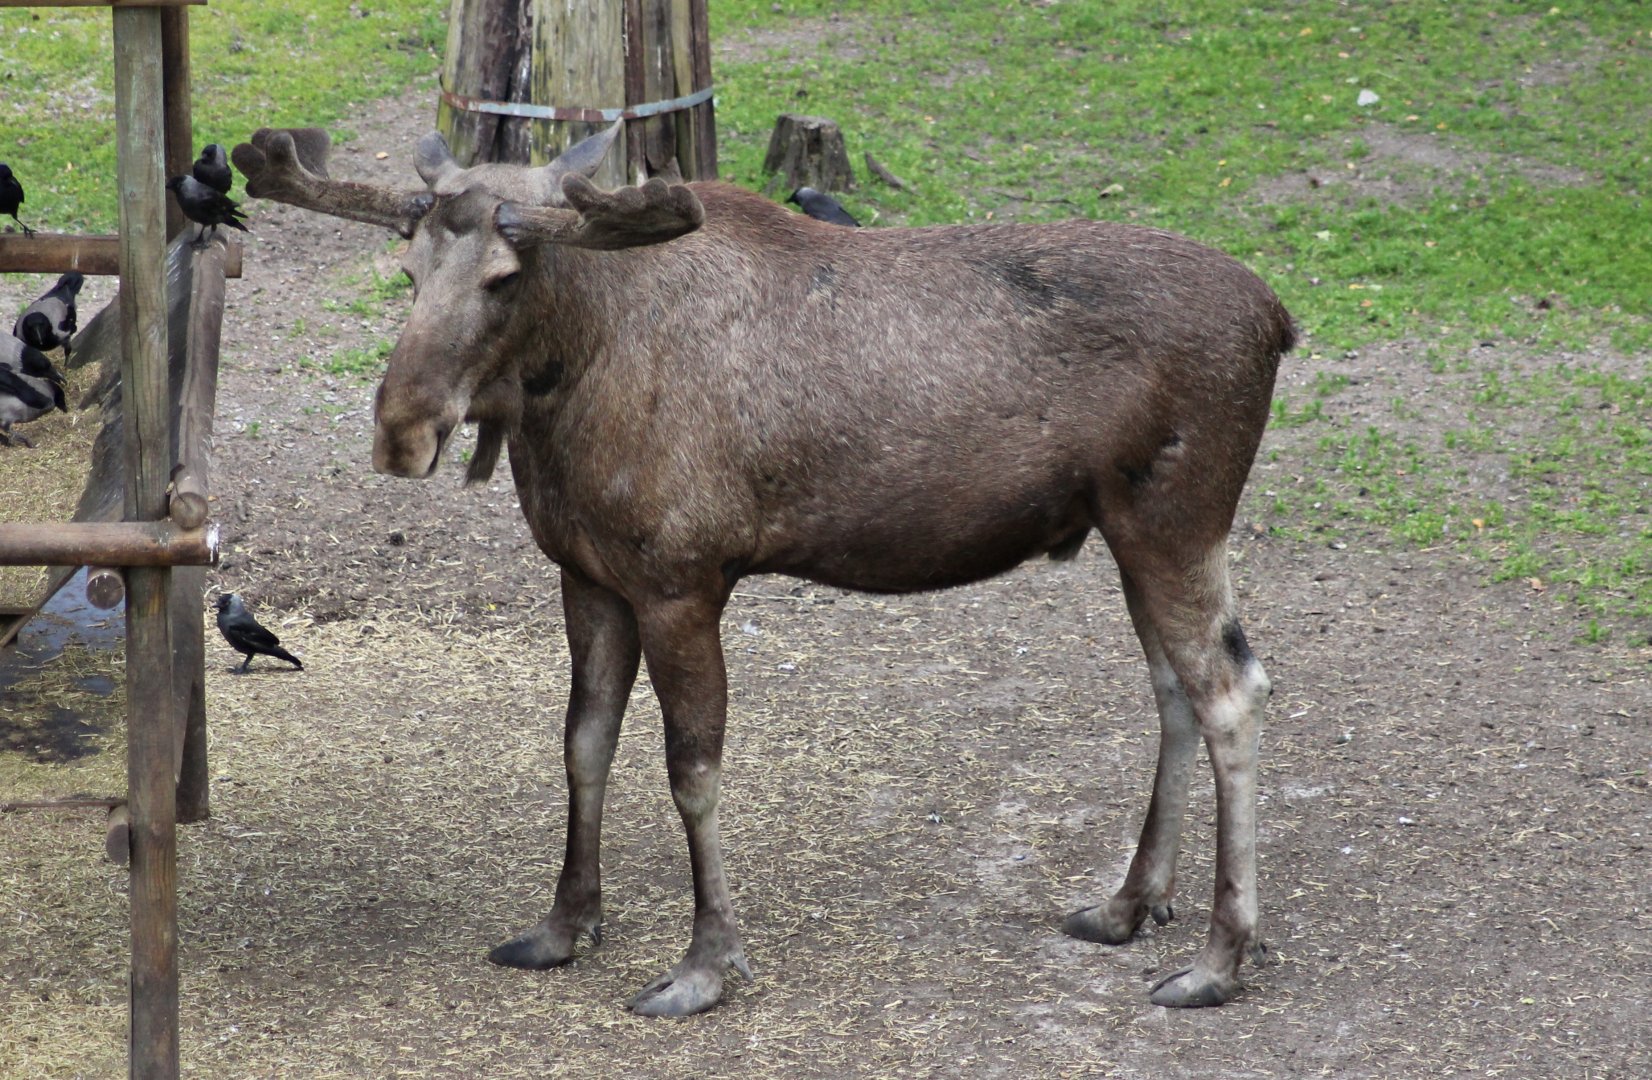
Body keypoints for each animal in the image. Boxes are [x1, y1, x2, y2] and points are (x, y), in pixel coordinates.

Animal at [231, 122, 1295, 1017]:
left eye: (502, 275)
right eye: (407, 268)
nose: (399, 432)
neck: (572, 383)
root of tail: (1280, 319)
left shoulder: (683, 578)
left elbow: (691, 769)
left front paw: (704, 966)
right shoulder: (588, 574)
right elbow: (583, 744)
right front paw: (565, 926)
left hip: (1177, 516)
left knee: (1232, 690)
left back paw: (1217, 958)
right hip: (1123, 526)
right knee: (1173, 690)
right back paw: (1127, 905)